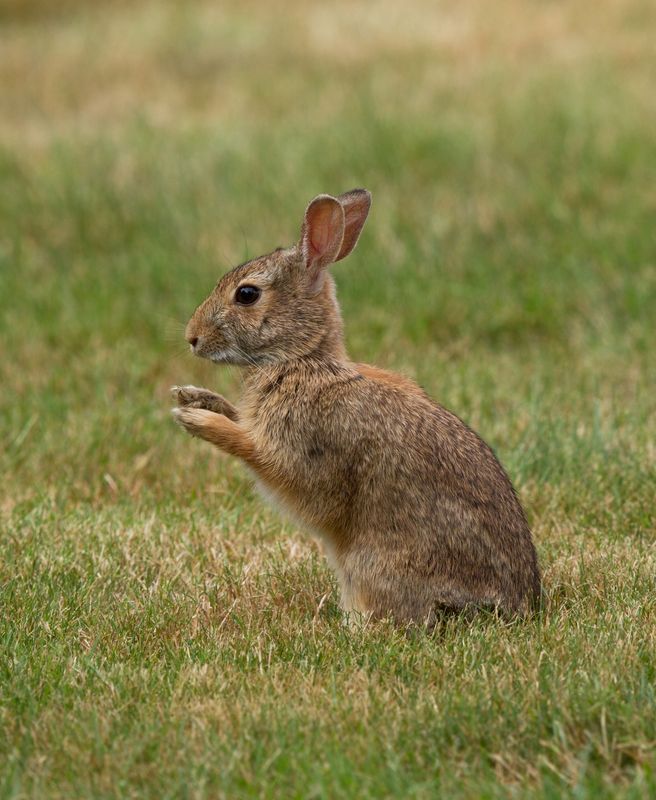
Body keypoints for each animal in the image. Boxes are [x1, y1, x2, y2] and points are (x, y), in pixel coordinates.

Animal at [172, 189, 540, 624]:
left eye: (247, 294)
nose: (191, 337)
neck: (304, 359)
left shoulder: (300, 447)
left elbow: (255, 451)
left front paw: (196, 419)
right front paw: (194, 397)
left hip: (377, 563)